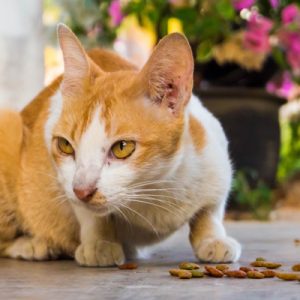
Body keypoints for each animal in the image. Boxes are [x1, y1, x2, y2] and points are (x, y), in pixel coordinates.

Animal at [0, 24, 241, 266]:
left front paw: (212, 239)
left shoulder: (216, 153)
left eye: (122, 147)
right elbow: (89, 214)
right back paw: (33, 244)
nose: (82, 191)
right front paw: (99, 242)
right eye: (65, 146)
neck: (156, 188)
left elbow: (211, 209)